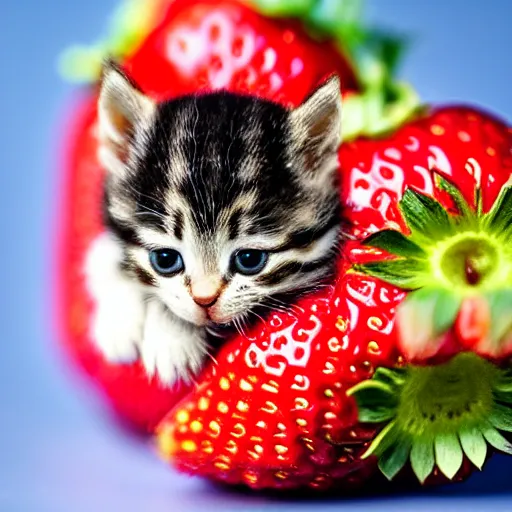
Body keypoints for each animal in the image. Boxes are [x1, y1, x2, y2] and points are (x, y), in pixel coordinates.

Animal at [85, 60, 344, 386]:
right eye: (165, 259)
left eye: (249, 259)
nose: (204, 300)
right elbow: (103, 260)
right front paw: (119, 325)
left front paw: (172, 338)